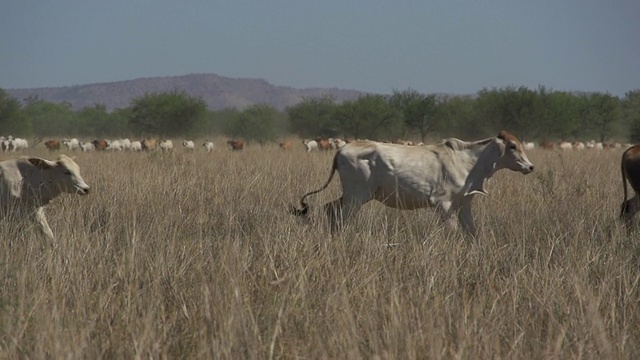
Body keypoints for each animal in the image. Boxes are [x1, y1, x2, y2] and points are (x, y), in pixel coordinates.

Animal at [290, 130, 536, 236]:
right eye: (512, 146)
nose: (530, 167)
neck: (469, 162)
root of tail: (341, 149)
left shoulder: (464, 205)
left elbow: (471, 232)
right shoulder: (443, 205)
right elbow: (452, 231)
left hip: (352, 196)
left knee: (330, 209)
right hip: (356, 197)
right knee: (340, 216)